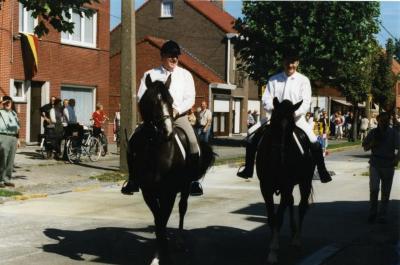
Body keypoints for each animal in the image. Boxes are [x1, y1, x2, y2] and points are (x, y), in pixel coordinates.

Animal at [130, 74, 214, 264]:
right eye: (151, 101)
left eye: (171, 100)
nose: (167, 132)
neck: (155, 151)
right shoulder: (149, 192)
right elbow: (158, 221)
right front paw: (158, 255)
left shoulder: (168, 192)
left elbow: (163, 219)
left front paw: (163, 254)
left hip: (185, 187)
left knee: (182, 208)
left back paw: (180, 242)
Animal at [256, 98, 316, 262]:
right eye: (274, 123)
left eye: (291, 127)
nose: (280, 155)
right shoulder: (266, 187)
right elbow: (271, 218)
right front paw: (272, 243)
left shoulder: (286, 185)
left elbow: (279, 217)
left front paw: (274, 249)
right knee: (291, 202)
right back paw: (292, 233)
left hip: (305, 182)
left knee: (301, 207)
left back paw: (297, 239)